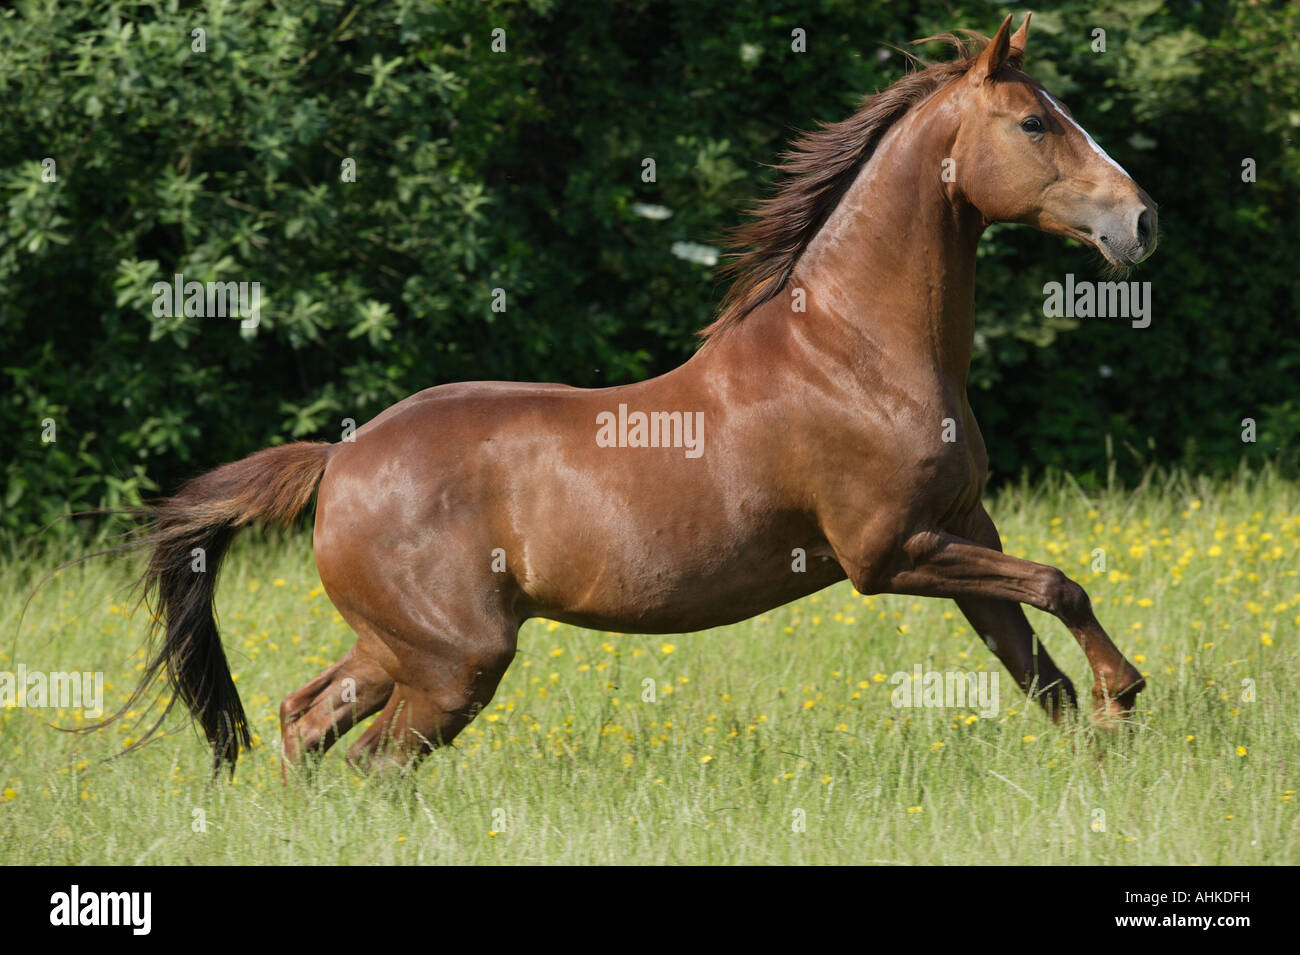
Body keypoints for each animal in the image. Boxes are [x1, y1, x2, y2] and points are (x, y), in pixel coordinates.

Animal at [106, 14, 1154, 779]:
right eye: (1035, 123)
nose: (1140, 221)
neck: (855, 355)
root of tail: (338, 459)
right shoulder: (889, 552)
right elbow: (1062, 583)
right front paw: (1127, 694)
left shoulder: (963, 526)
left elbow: (1039, 667)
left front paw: (1100, 750)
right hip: (453, 662)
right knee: (373, 760)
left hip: (394, 647)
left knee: (304, 718)